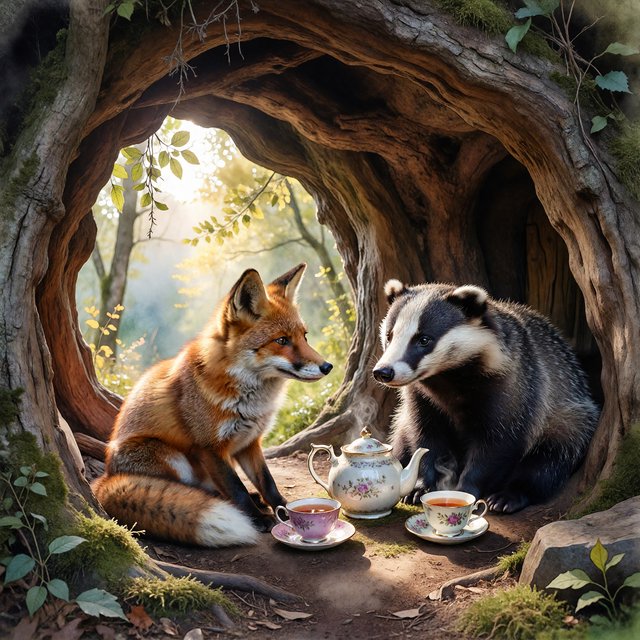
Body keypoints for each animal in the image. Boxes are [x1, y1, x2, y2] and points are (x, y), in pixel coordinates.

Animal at [92, 263, 332, 547]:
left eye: (304, 336)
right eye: (282, 341)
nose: (327, 366)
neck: (249, 399)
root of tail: (105, 478)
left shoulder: (250, 443)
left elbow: (268, 482)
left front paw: (284, 510)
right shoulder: (209, 448)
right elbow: (236, 488)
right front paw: (258, 518)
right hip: (171, 456)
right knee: (195, 490)